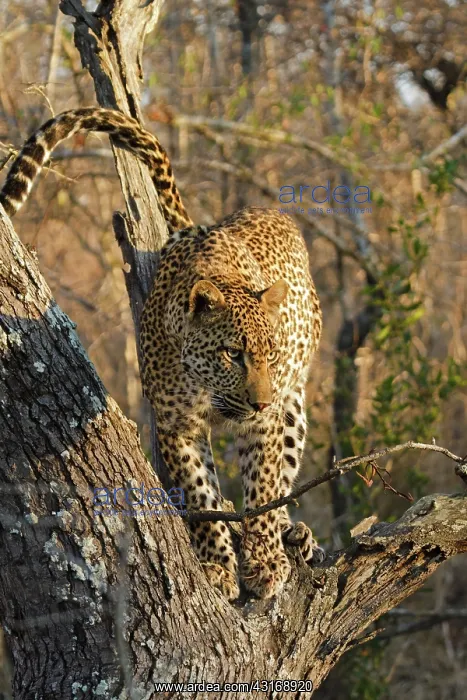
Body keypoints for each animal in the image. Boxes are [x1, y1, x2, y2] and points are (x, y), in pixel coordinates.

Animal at [0, 107, 324, 600]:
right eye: (233, 353)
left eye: (270, 354)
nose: (260, 401)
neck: (203, 385)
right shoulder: (177, 425)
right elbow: (200, 493)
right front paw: (217, 565)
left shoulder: (264, 424)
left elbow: (264, 486)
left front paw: (266, 560)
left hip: (293, 405)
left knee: (285, 466)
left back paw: (294, 533)